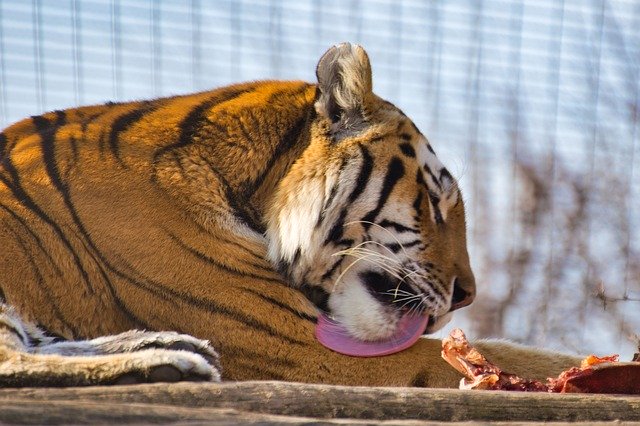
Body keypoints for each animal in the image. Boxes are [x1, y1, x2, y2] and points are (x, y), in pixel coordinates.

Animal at [0, 44, 580, 390]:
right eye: (433, 202)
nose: (467, 295)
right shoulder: (298, 347)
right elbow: (510, 356)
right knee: (13, 361)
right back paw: (165, 364)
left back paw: (169, 346)